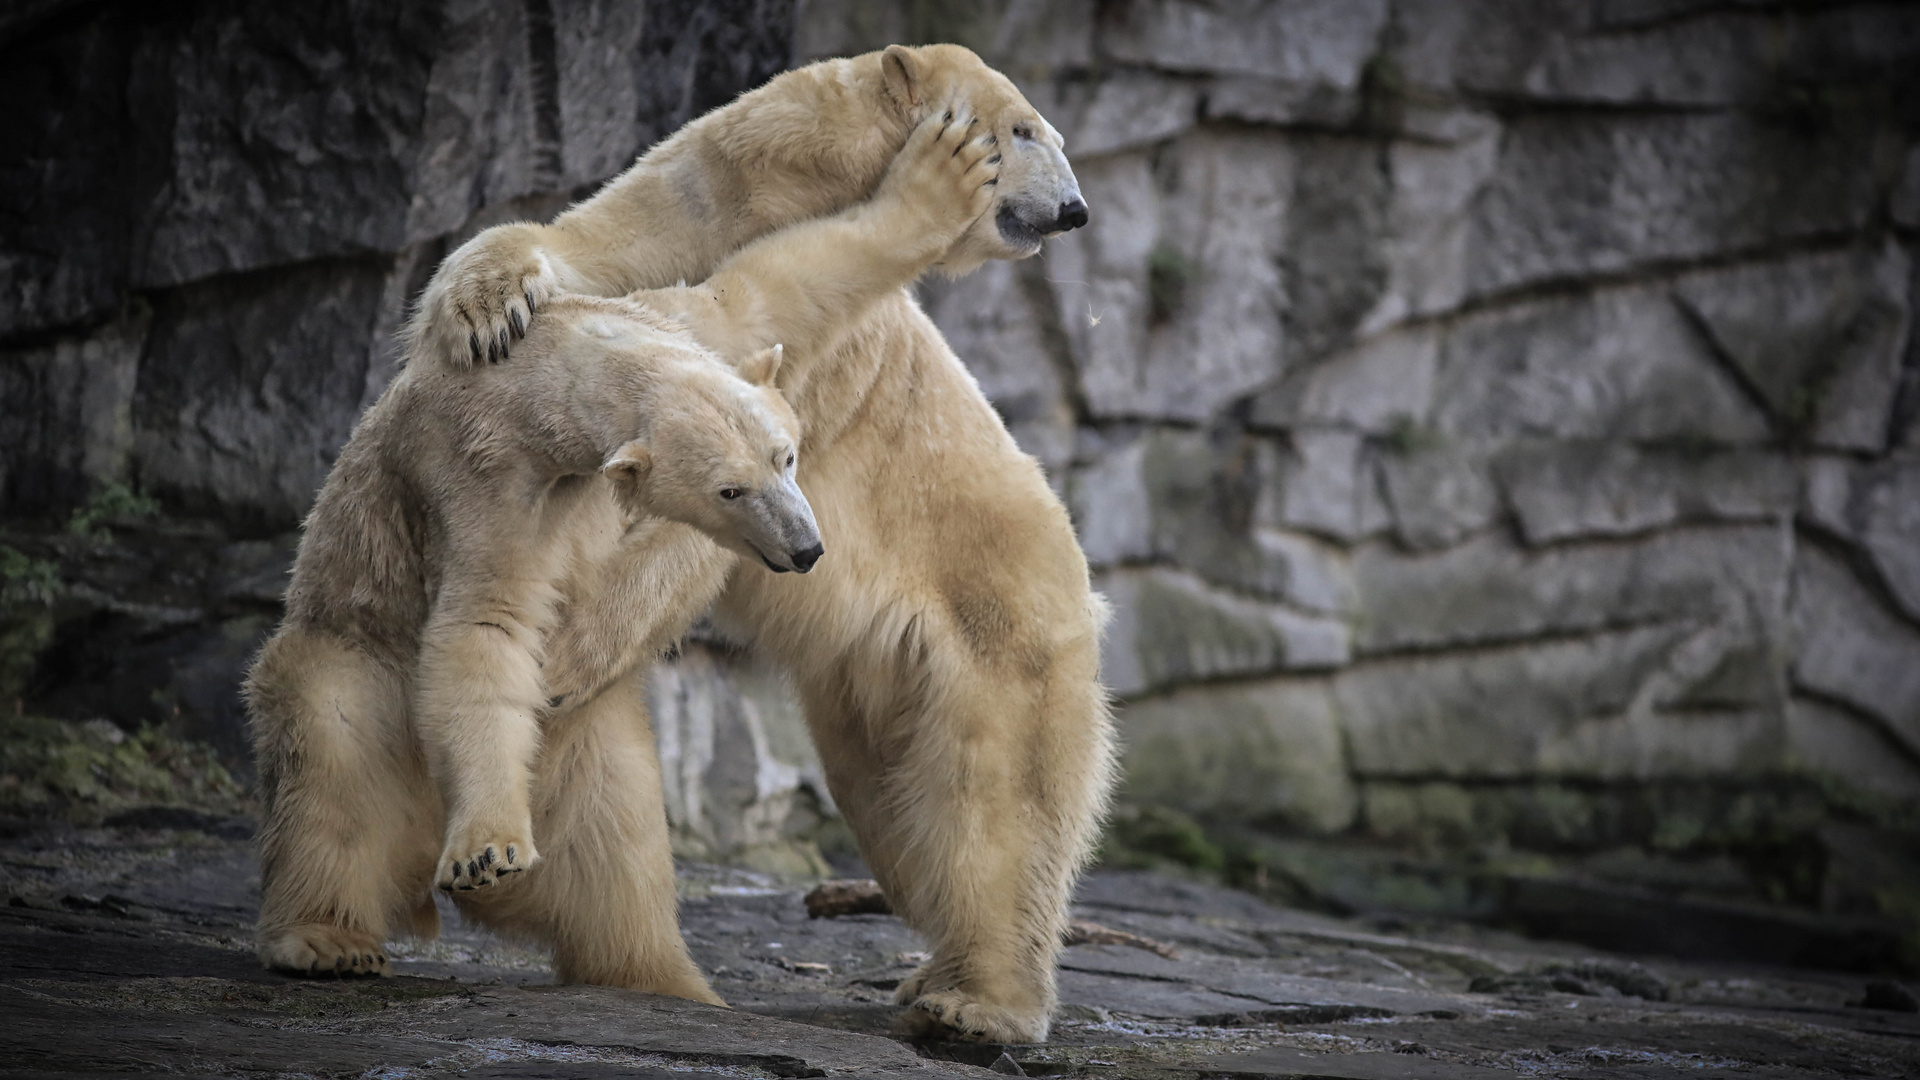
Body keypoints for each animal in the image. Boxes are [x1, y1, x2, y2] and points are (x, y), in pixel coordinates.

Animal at [416, 44, 1113, 1045]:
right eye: (1026, 128)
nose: (1074, 209)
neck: (798, 186)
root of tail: (1081, 581)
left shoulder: (828, 359)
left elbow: (711, 512)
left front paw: (564, 658)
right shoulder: (701, 200)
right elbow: (585, 245)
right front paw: (487, 308)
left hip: (997, 616)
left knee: (1000, 794)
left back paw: (977, 1003)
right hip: (871, 685)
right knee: (893, 806)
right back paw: (929, 968)